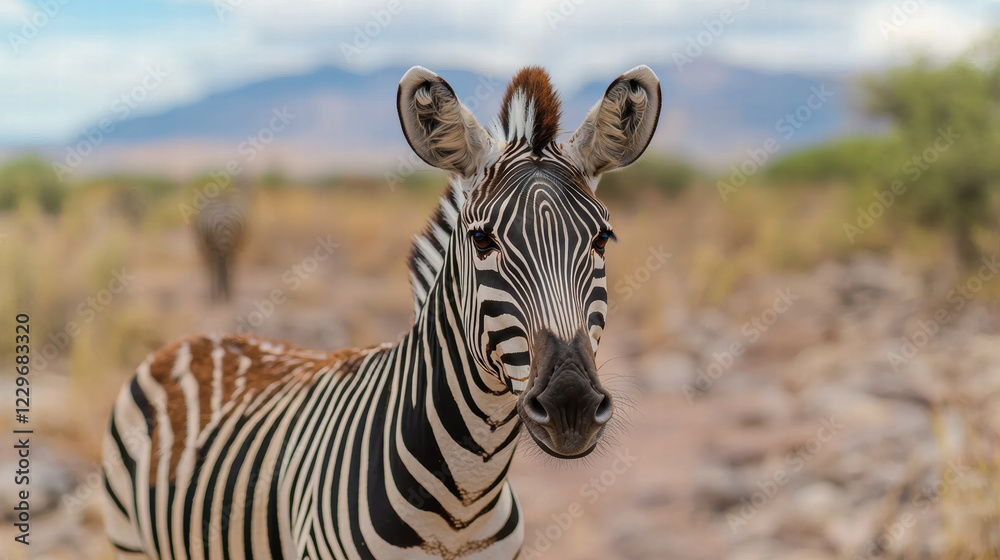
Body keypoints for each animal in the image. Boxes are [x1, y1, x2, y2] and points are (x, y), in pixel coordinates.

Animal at [102, 64, 661, 560]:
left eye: (602, 240)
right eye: (482, 241)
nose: (571, 406)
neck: (467, 497)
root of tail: (197, 339)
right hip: (127, 540)